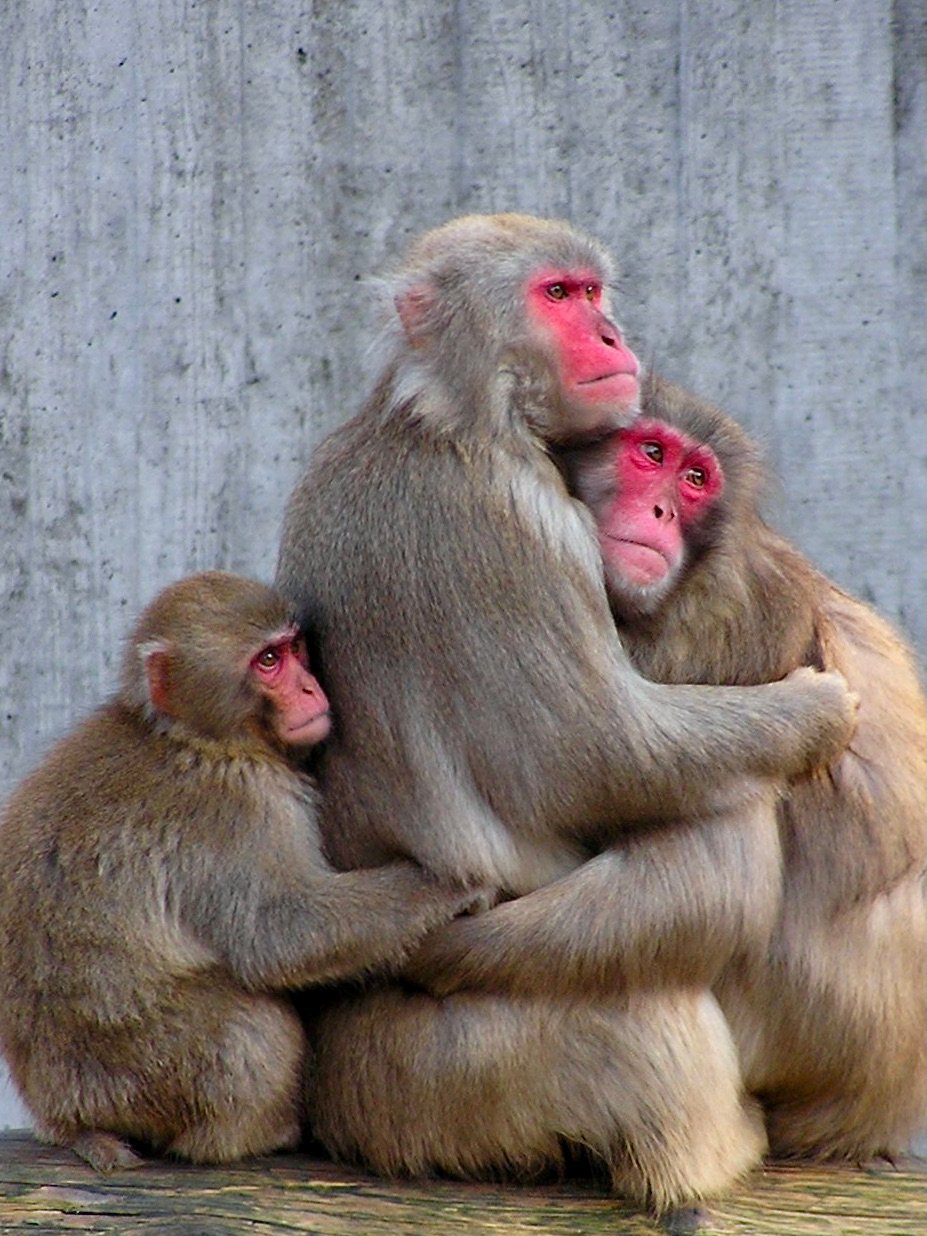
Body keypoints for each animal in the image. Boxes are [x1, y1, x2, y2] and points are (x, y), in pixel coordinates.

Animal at [0, 571, 480, 1174]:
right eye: (268, 661)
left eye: (294, 649)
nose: (311, 689)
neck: (197, 738)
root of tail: (63, 1113)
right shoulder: (239, 809)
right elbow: (278, 935)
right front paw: (442, 887)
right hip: (149, 1073)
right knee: (250, 1025)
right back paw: (256, 1133)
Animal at [275, 214, 859, 1214]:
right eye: (558, 296)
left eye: (593, 293)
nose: (614, 335)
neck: (451, 417)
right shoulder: (519, 525)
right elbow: (597, 755)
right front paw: (814, 708)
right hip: (490, 1070)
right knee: (716, 818)